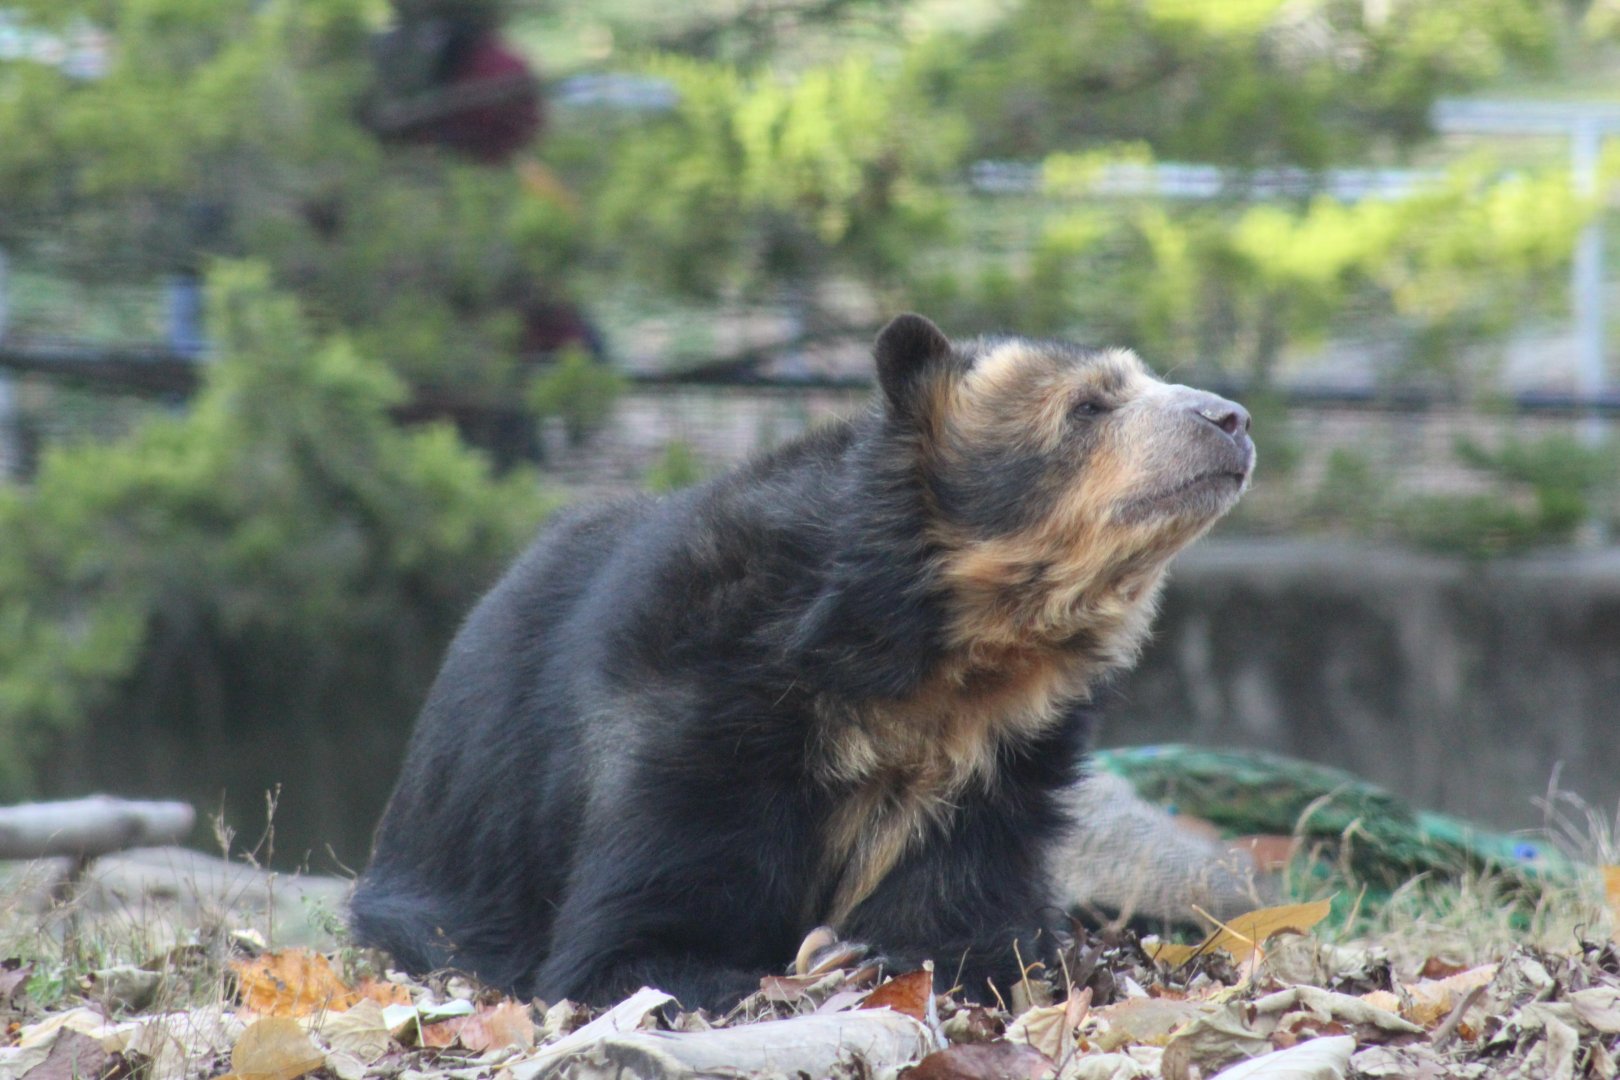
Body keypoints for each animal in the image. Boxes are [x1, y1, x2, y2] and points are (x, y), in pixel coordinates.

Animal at [349, 314, 1254, 1011]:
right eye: (1090, 405)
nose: (1231, 418)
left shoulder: (995, 773)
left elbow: (981, 915)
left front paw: (899, 954)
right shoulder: (693, 721)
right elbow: (627, 937)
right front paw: (822, 965)